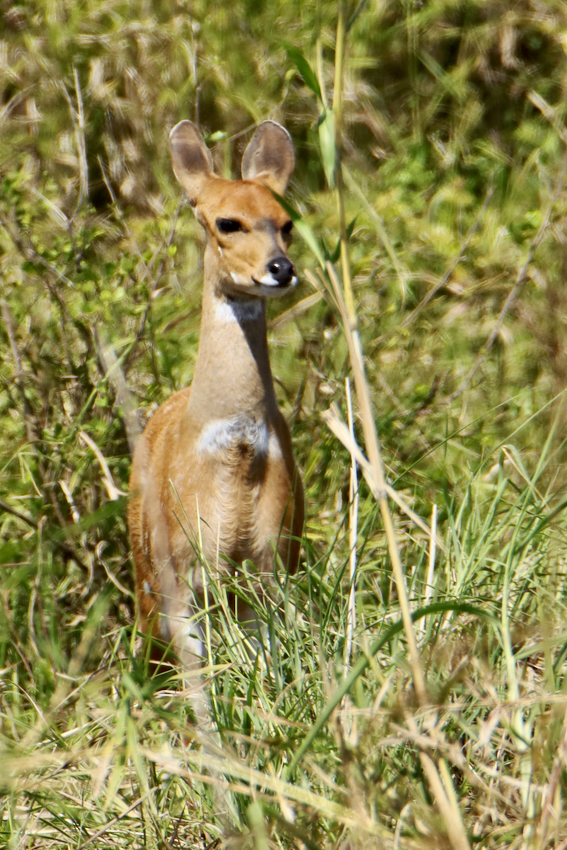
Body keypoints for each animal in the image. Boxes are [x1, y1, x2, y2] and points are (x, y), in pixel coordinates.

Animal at [128, 119, 304, 696]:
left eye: (286, 223)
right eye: (228, 222)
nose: (281, 268)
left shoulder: (273, 559)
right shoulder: (181, 573)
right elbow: (199, 682)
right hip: (146, 574)